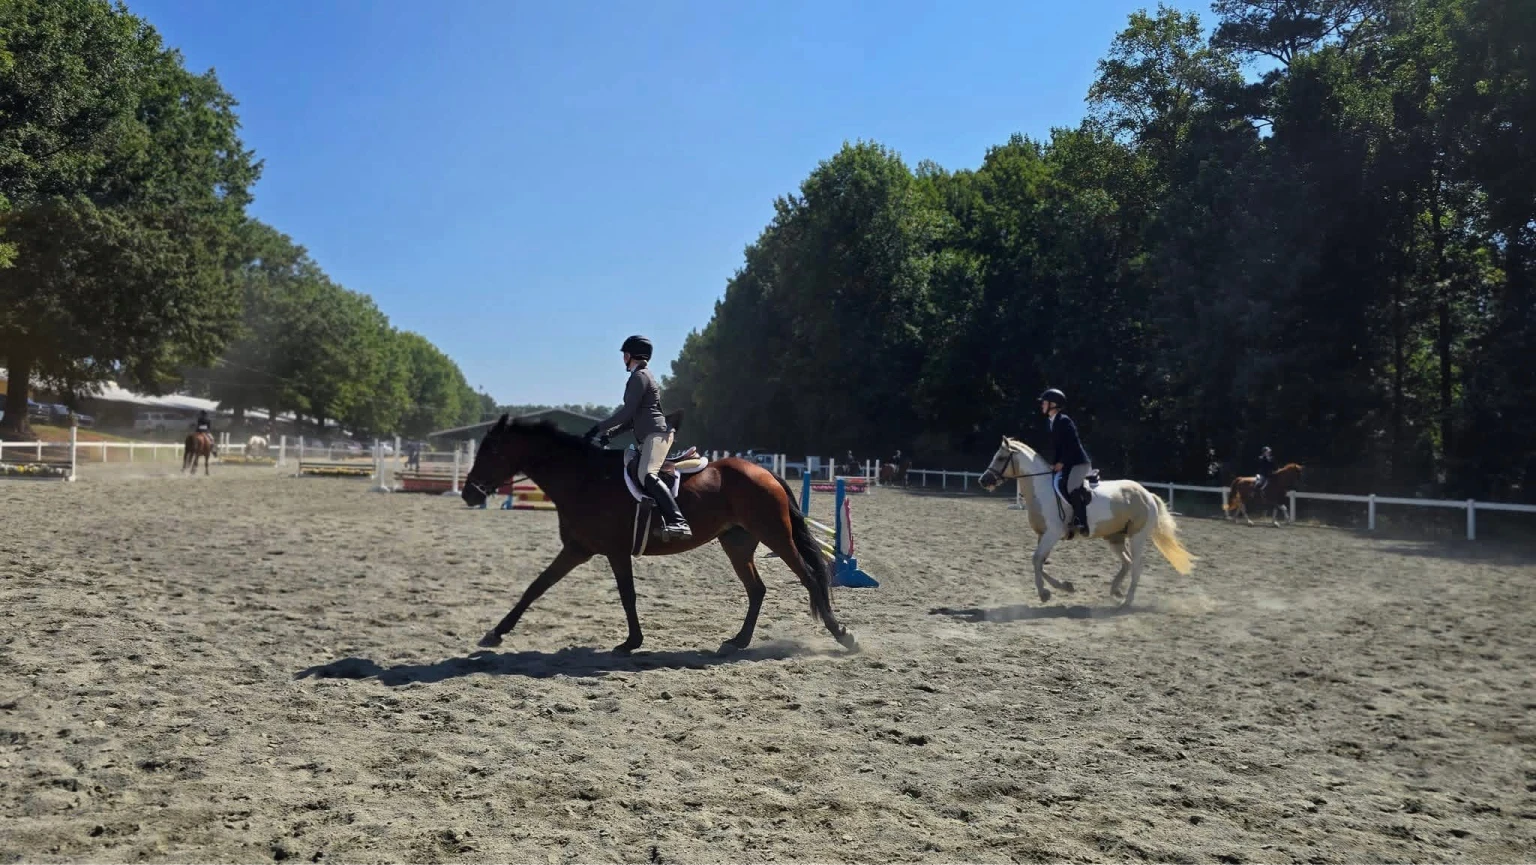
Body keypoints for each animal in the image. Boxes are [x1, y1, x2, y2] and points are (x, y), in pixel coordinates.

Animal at [460, 415, 858, 657]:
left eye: (491, 450)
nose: (469, 495)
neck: (583, 478)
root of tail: (764, 471)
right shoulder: (578, 549)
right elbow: (536, 587)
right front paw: (495, 633)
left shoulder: (614, 551)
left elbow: (628, 596)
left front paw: (631, 642)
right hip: (737, 542)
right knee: (757, 589)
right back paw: (738, 641)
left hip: (775, 535)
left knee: (809, 578)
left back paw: (844, 636)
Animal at [978, 436, 1194, 608]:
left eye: (1001, 458)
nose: (983, 480)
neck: (1042, 490)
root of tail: (1147, 494)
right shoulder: (1043, 535)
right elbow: (1040, 562)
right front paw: (1064, 587)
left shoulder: (1052, 534)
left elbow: (1036, 560)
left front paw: (1044, 593)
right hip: (1114, 537)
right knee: (1127, 562)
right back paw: (1116, 591)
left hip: (1137, 537)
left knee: (1136, 566)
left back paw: (1127, 601)